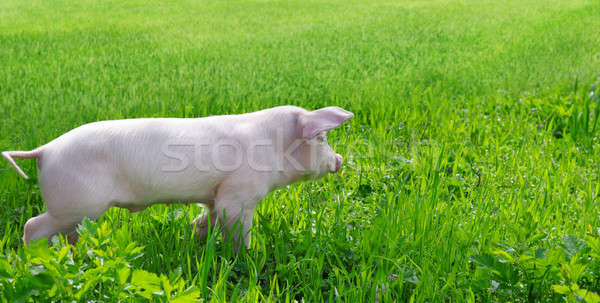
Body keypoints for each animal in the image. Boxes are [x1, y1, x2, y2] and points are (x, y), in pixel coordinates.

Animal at [1, 105, 352, 251]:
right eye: (321, 139)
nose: (339, 160)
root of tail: (45, 150)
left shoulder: (215, 194)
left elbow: (208, 217)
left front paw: (196, 235)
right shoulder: (239, 194)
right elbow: (236, 228)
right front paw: (245, 257)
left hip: (76, 211)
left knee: (67, 235)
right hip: (73, 204)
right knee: (33, 226)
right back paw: (32, 259)